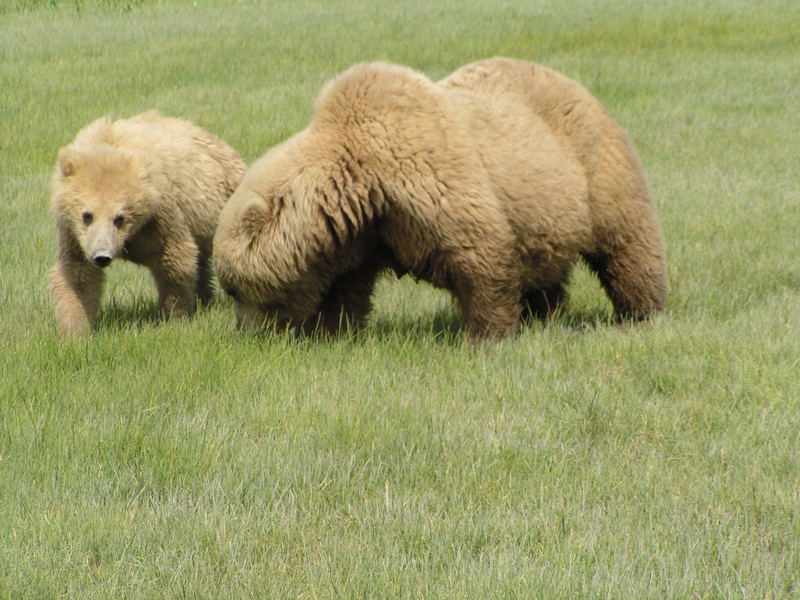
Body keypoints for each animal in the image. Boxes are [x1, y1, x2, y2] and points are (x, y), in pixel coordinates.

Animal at [48, 111, 245, 338]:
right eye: (87, 215)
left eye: (120, 217)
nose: (102, 257)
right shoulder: (75, 235)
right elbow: (77, 275)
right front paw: (75, 330)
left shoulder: (160, 216)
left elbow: (174, 260)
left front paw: (173, 315)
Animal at [209, 59, 664, 342]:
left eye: (233, 289)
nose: (246, 332)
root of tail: (576, 85)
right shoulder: (362, 233)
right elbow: (347, 286)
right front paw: (334, 331)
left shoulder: (429, 180)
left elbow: (480, 255)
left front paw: (487, 335)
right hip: (542, 211)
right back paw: (542, 312)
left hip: (594, 169)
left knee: (625, 244)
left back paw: (641, 312)